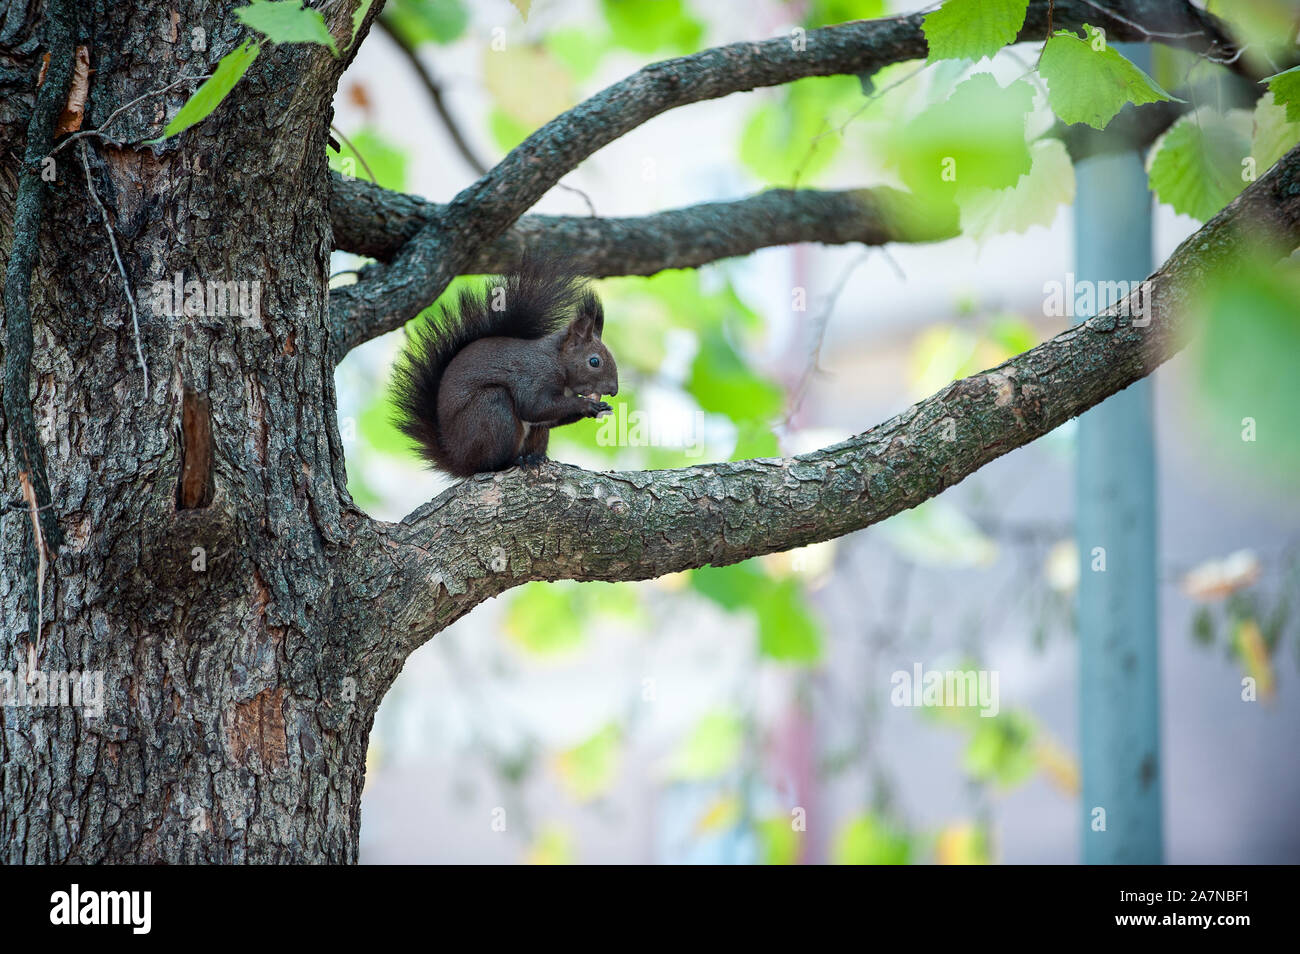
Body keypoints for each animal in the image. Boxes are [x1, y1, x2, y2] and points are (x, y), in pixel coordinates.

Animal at [390, 259, 619, 478]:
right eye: (594, 361)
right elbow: (535, 406)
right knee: (488, 463)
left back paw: (536, 458)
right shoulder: (534, 375)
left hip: (534, 433)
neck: (558, 361)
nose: (613, 391)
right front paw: (586, 404)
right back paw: (513, 462)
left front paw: (600, 407)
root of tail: (457, 459)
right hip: (490, 411)